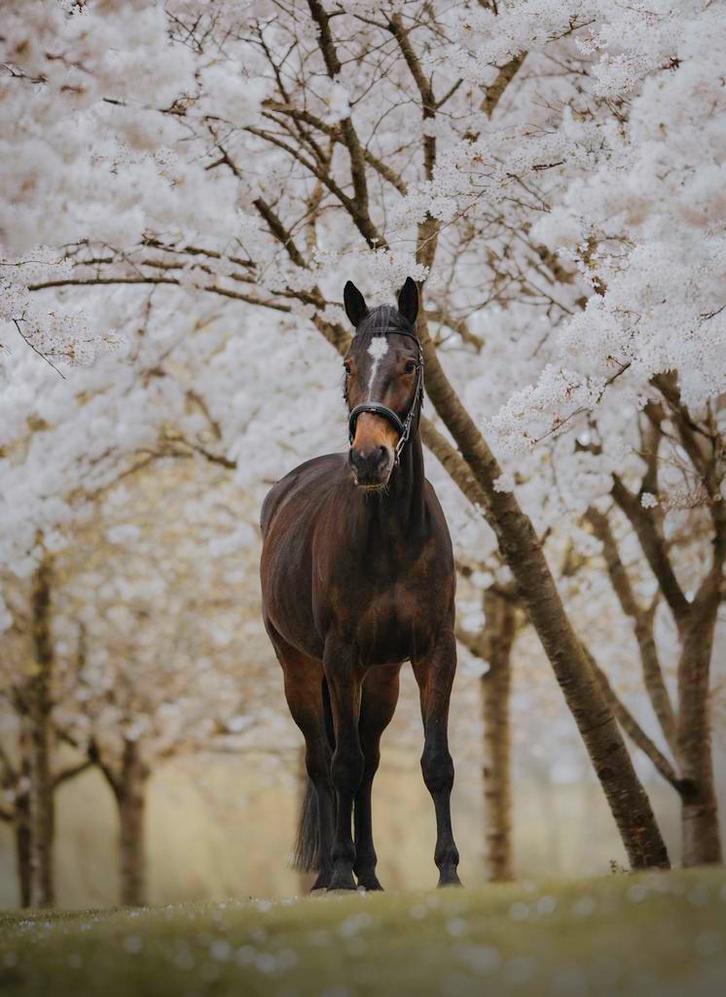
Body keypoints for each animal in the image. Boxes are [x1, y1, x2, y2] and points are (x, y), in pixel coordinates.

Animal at [259, 277, 461, 891]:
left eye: (410, 364)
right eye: (348, 364)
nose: (370, 457)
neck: (391, 535)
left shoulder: (433, 653)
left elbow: (435, 764)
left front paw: (448, 871)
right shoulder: (340, 657)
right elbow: (340, 766)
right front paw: (340, 871)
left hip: (382, 677)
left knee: (368, 761)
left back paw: (370, 872)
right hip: (302, 670)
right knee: (323, 762)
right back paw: (333, 872)